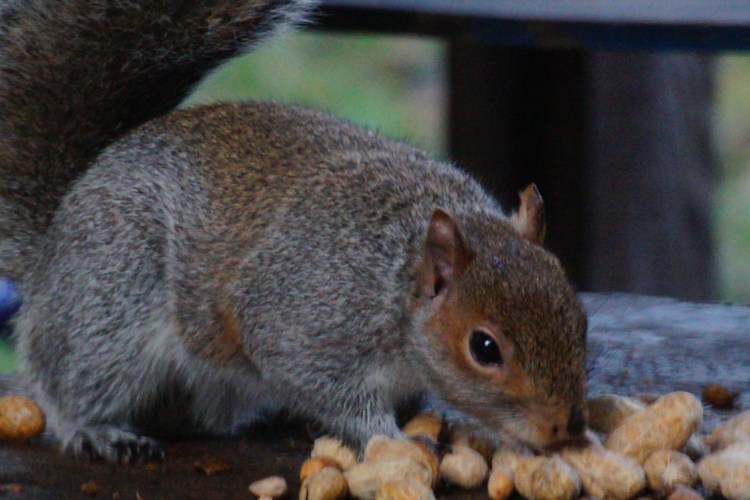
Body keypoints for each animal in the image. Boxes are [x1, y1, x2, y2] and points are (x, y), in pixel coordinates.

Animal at [0, 0, 588, 463]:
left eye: (579, 317)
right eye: (484, 348)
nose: (564, 429)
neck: (396, 276)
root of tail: (55, 236)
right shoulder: (306, 316)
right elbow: (324, 384)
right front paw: (394, 439)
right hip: (111, 294)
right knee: (68, 376)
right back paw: (97, 431)